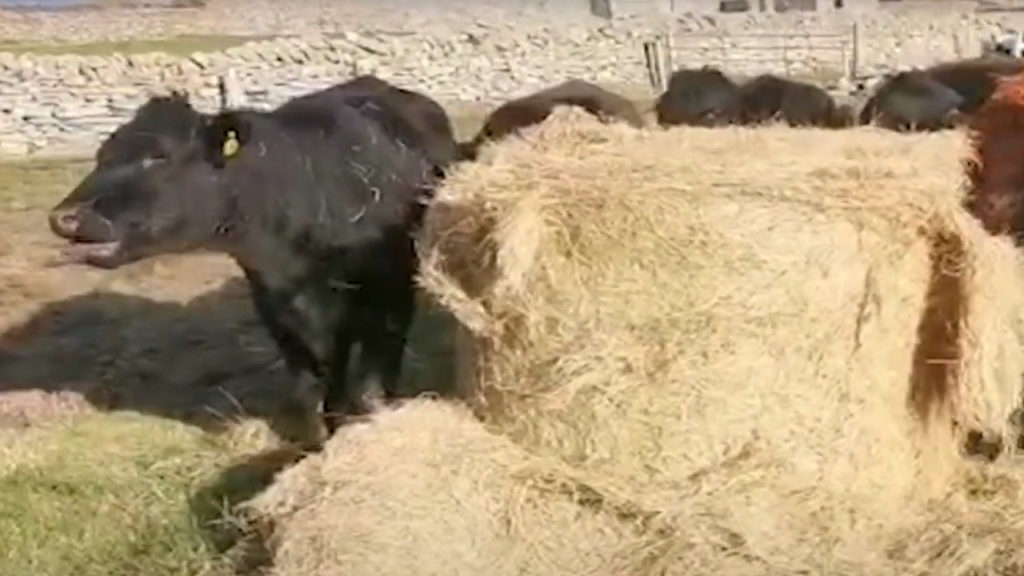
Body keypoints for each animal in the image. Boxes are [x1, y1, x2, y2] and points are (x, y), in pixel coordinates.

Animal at [47, 84, 440, 438]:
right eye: (102, 155)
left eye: (158, 155)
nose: (63, 218)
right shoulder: (278, 313)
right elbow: (314, 397)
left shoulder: (389, 299)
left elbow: (372, 387)